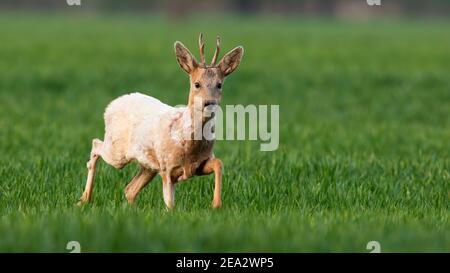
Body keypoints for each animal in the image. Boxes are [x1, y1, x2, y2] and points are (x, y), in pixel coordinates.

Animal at [79, 34, 244, 208]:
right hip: (117, 150)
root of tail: (110, 106)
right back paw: (84, 199)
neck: (188, 145)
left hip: (148, 166)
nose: (209, 103)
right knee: (96, 144)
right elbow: (170, 204)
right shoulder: (167, 167)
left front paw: (216, 205)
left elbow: (219, 163)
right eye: (197, 84)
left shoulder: (199, 164)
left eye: (219, 84)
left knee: (129, 189)